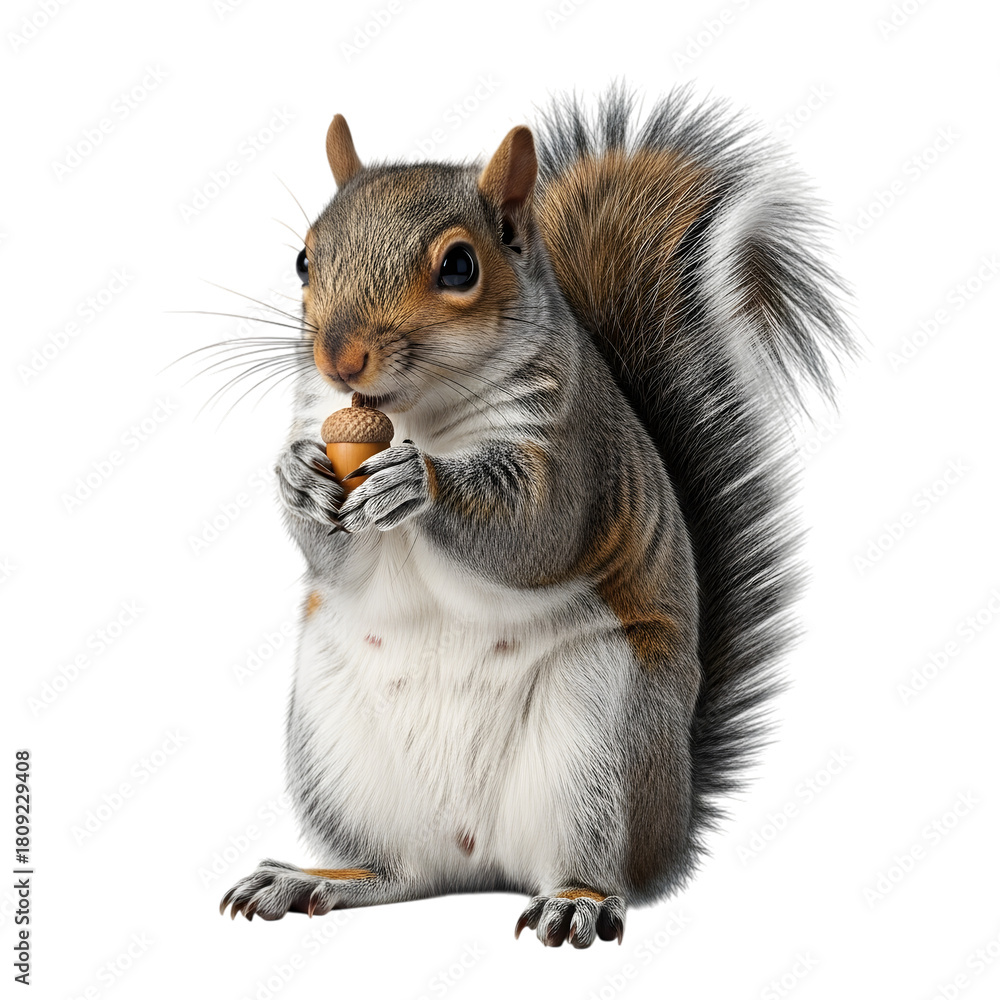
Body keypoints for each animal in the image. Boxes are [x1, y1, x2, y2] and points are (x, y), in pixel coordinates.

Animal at [218, 85, 853, 948]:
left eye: (459, 265)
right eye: (304, 260)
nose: (339, 358)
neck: (417, 414)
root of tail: (478, 856)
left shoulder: (571, 449)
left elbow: (534, 530)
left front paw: (417, 482)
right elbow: (332, 556)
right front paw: (299, 480)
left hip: (602, 741)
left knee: (598, 865)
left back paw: (577, 901)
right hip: (336, 749)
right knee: (399, 873)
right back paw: (315, 880)